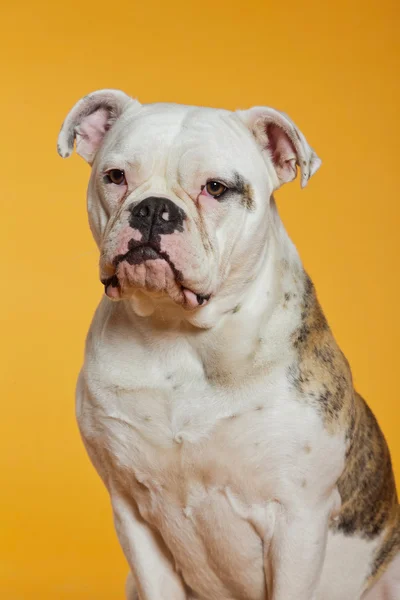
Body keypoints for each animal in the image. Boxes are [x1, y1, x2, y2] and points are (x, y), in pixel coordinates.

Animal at [57, 90, 398, 600]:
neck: (178, 336)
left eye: (216, 188)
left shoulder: (298, 521)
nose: (153, 209)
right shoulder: (133, 513)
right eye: (116, 177)